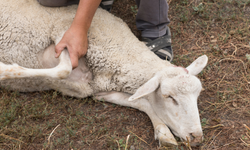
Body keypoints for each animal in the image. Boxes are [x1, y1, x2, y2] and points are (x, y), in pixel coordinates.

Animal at [0, 0, 208, 146]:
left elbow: (141, 102)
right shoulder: (64, 35)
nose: (197, 138)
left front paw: (163, 133)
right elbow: (63, 70)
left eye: (198, 95)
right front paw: (5, 70)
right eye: (169, 97)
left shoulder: (99, 91)